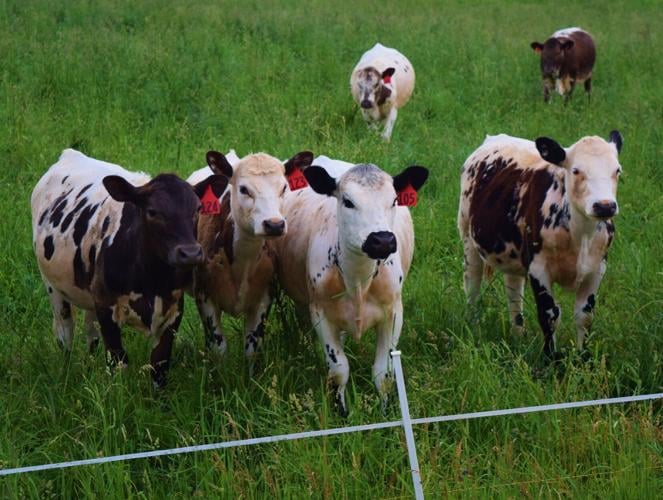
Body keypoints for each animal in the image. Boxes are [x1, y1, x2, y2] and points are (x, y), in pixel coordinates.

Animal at [31, 149, 228, 387]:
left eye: (198, 209)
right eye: (152, 211)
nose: (190, 253)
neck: (152, 279)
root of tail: (70, 154)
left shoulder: (173, 311)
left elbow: (159, 367)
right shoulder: (106, 306)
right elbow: (118, 362)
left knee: (91, 333)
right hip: (53, 288)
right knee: (65, 334)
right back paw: (66, 374)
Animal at [187, 150, 314, 373]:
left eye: (284, 187)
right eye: (244, 189)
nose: (274, 224)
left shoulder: (263, 298)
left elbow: (252, 350)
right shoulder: (205, 297)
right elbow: (218, 348)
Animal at [273, 158, 429, 415]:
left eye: (394, 200)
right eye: (348, 201)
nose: (382, 240)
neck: (358, 280)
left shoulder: (394, 313)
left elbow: (384, 372)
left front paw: (385, 412)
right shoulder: (320, 314)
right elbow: (338, 370)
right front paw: (342, 412)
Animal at [457, 131, 623, 357]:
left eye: (617, 170)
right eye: (576, 170)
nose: (605, 206)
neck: (580, 235)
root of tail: (495, 138)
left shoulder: (597, 268)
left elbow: (585, 315)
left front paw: (583, 358)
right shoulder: (538, 267)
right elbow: (549, 314)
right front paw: (550, 358)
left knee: (513, 293)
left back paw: (518, 334)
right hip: (468, 237)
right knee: (472, 287)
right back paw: (472, 326)